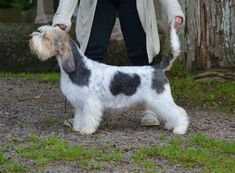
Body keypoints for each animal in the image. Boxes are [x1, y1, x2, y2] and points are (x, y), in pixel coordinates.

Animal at [29, 22, 189, 135]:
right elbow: (80, 117)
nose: (31, 38)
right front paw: (78, 128)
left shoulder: (90, 102)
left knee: (179, 111)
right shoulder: (80, 104)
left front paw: (86, 130)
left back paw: (180, 129)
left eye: (45, 36)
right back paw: (171, 125)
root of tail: (157, 67)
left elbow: (89, 117)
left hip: (161, 98)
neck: (79, 67)